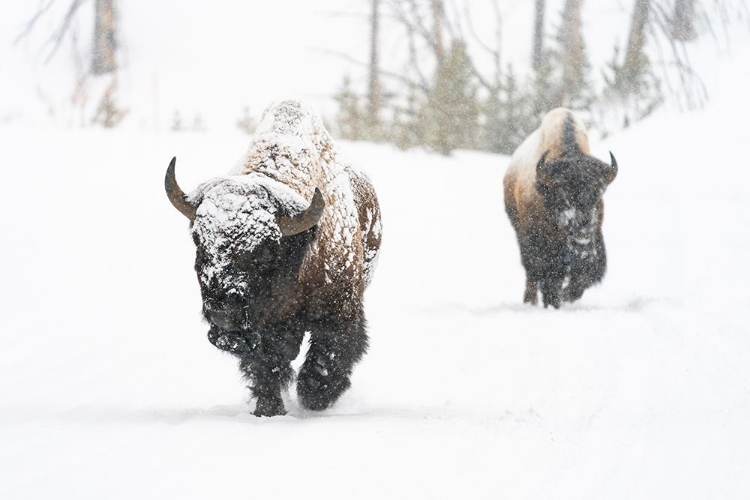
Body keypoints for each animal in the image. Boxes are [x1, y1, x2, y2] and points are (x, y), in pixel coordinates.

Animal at [168, 99, 384, 416]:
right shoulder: (263, 328)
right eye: (198, 239)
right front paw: (268, 409)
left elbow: (330, 354)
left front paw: (314, 396)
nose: (223, 313)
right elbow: (266, 363)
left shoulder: (339, 309)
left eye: (266, 250)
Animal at [502, 107, 620, 306]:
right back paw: (531, 301)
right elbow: (547, 277)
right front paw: (554, 300)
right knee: (531, 274)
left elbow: (581, 278)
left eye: (597, 193)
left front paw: (565, 296)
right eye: (562, 193)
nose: (582, 227)